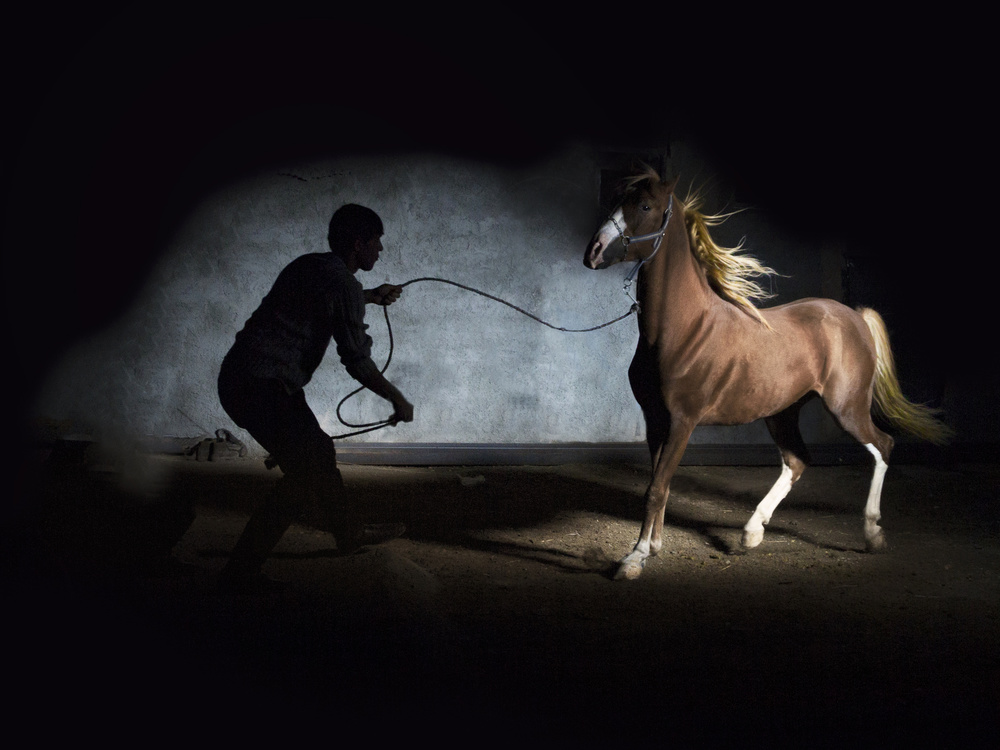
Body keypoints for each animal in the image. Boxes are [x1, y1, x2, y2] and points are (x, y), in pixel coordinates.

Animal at [584, 165, 952, 580]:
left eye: (645, 205)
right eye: (616, 199)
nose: (593, 252)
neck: (683, 329)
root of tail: (855, 316)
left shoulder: (682, 421)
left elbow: (656, 489)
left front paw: (636, 557)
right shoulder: (655, 421)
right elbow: (656, 484)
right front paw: (653, 547)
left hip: (847, 408)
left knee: (883, 446)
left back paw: (872, 533)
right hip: (782, 412)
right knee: (797, 461)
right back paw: (752, 531)